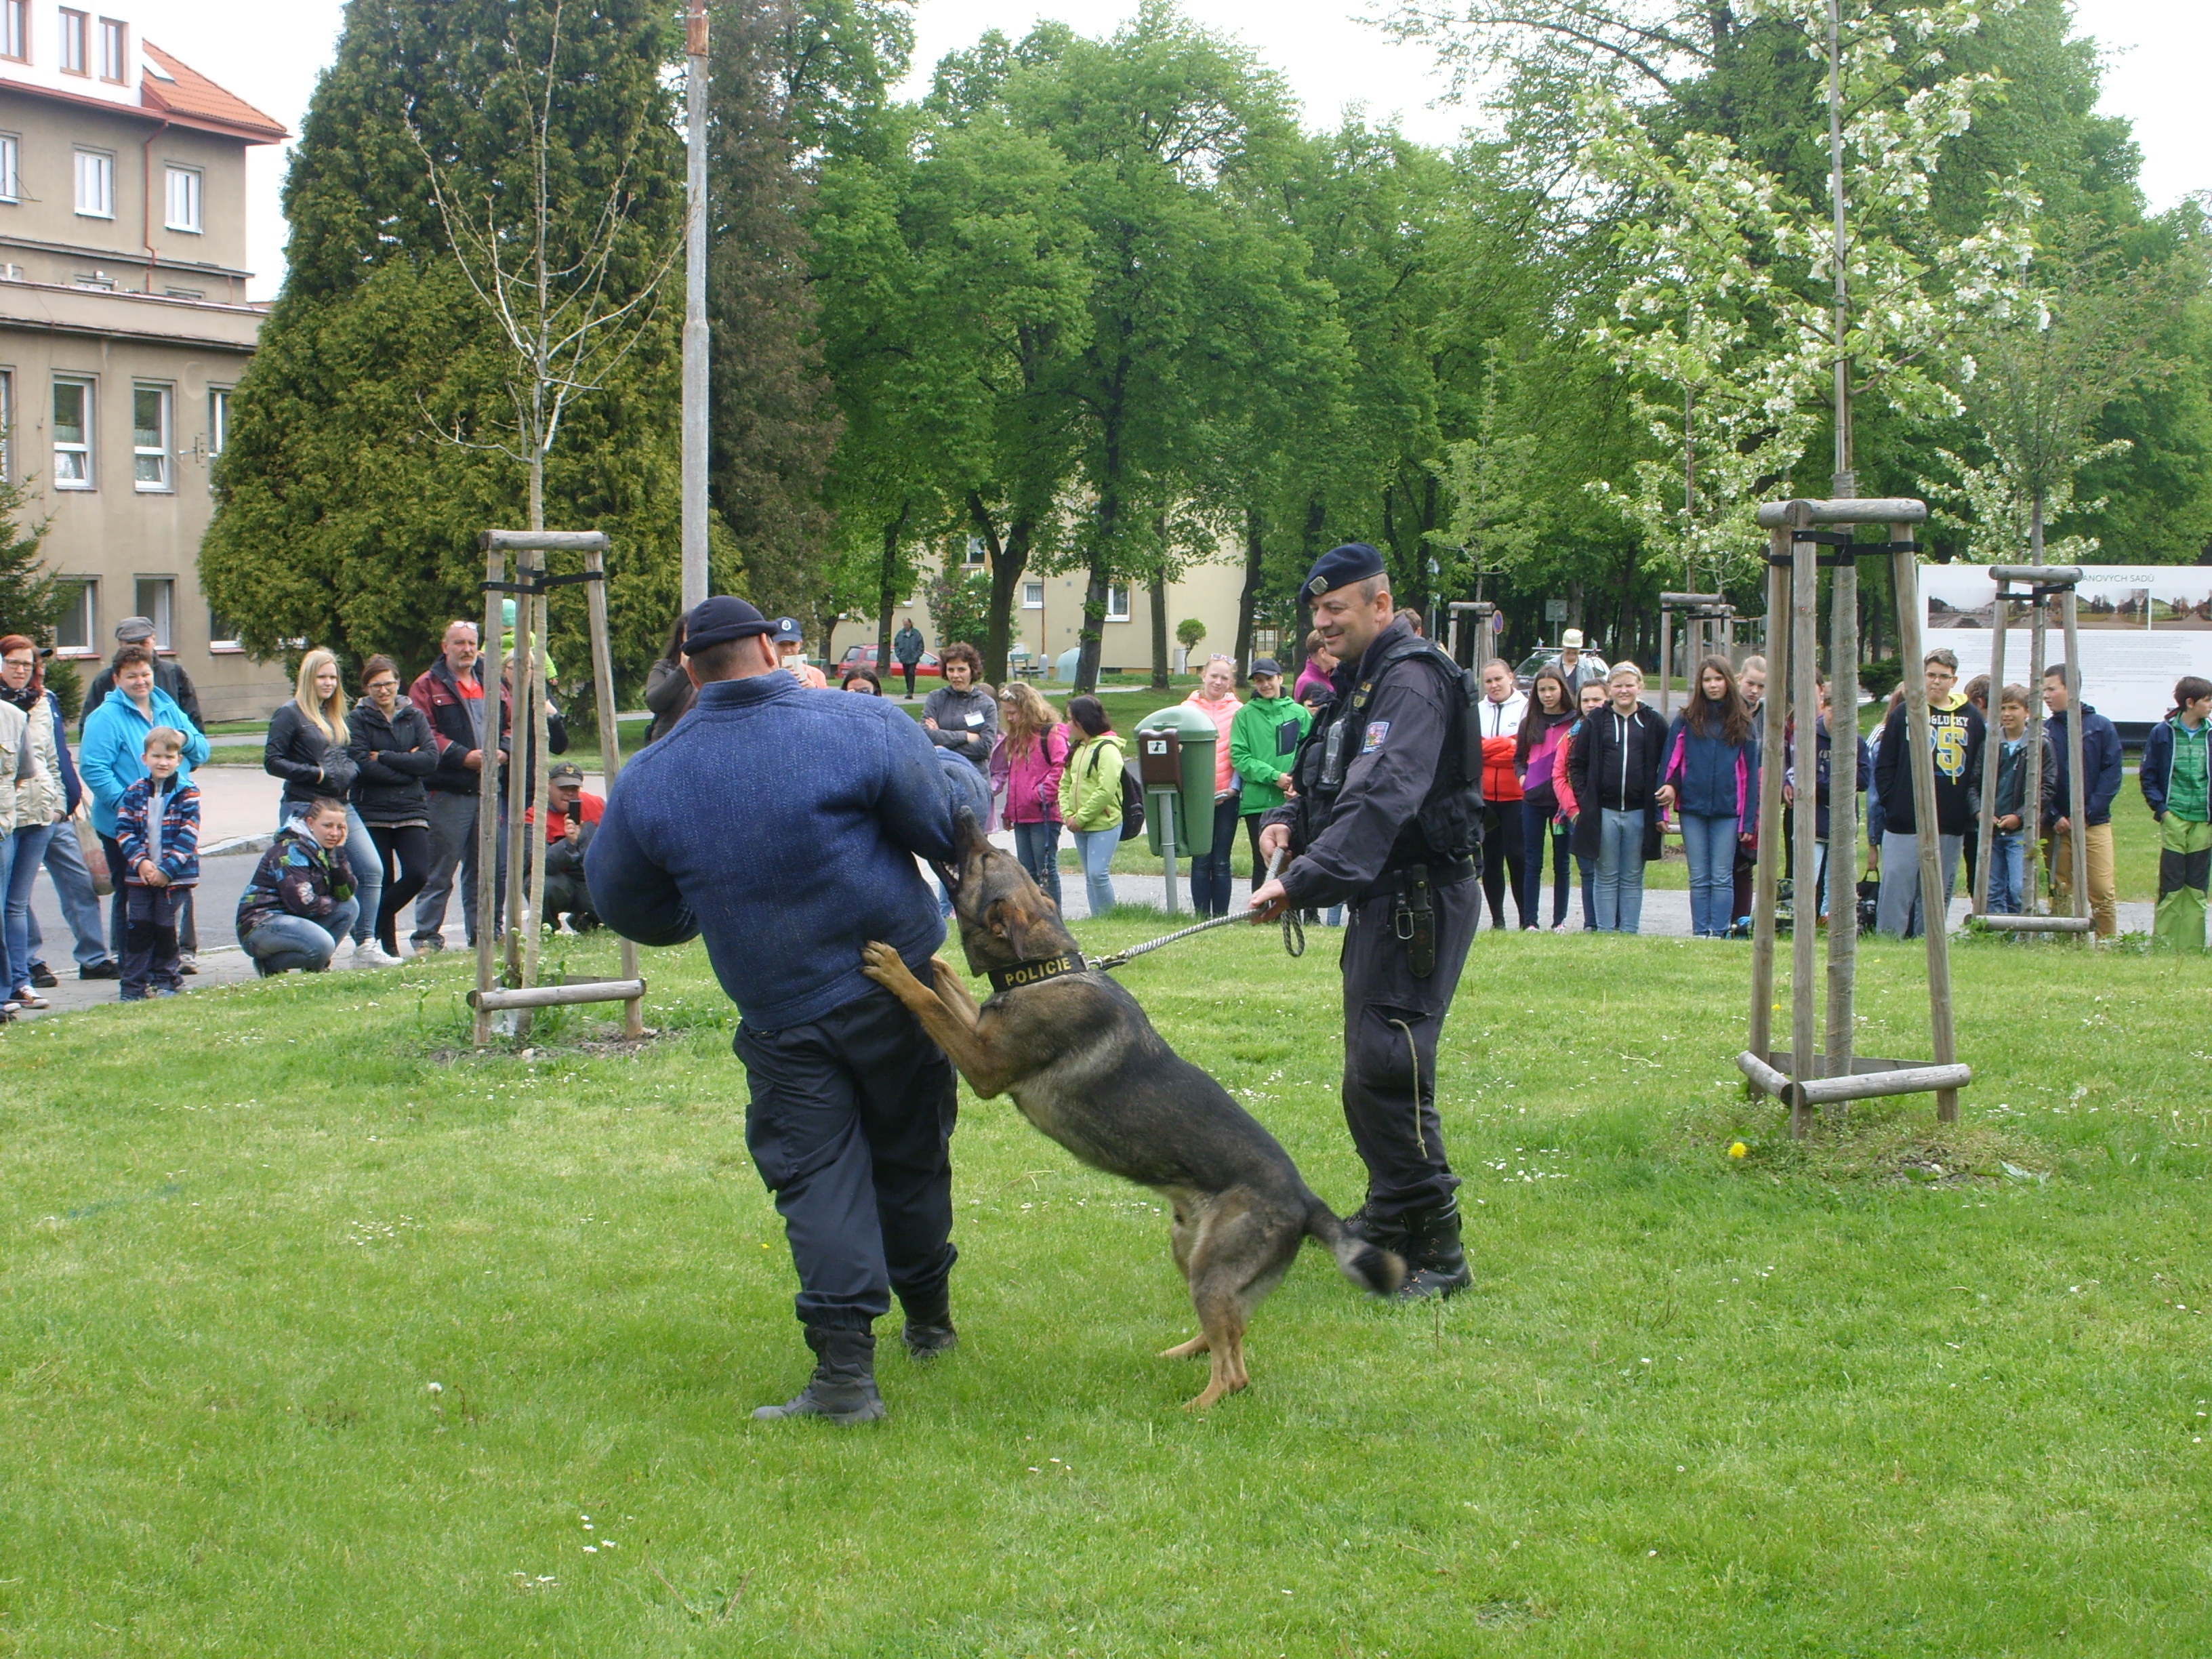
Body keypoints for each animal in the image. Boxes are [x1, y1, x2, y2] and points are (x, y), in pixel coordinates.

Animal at [862, 814, 1397, 1406]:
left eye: (983, 859)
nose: (962, 813)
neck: (1044, 969)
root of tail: (1306, 1200)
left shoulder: (983, 1064)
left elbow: (930, 1004)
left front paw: (896, 968)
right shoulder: (982, 1033)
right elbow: (949, 990)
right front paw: (932, 960)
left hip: (1211, 1267)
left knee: (1234, 1371)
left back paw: (1196, 1408)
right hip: (1189, 1250)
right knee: (1232, 1331)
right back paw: (1184, 1351)